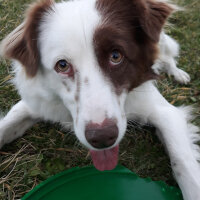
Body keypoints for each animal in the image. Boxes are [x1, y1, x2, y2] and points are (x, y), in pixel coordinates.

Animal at [0, 0, 199, 200]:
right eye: (62, 65)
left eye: (116, 56)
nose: (103, 138)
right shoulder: (37, 103)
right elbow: (7, 125)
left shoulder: (165, 112)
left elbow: (183, 162)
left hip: (162, 41)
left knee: (168, 57)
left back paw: (178, 73)